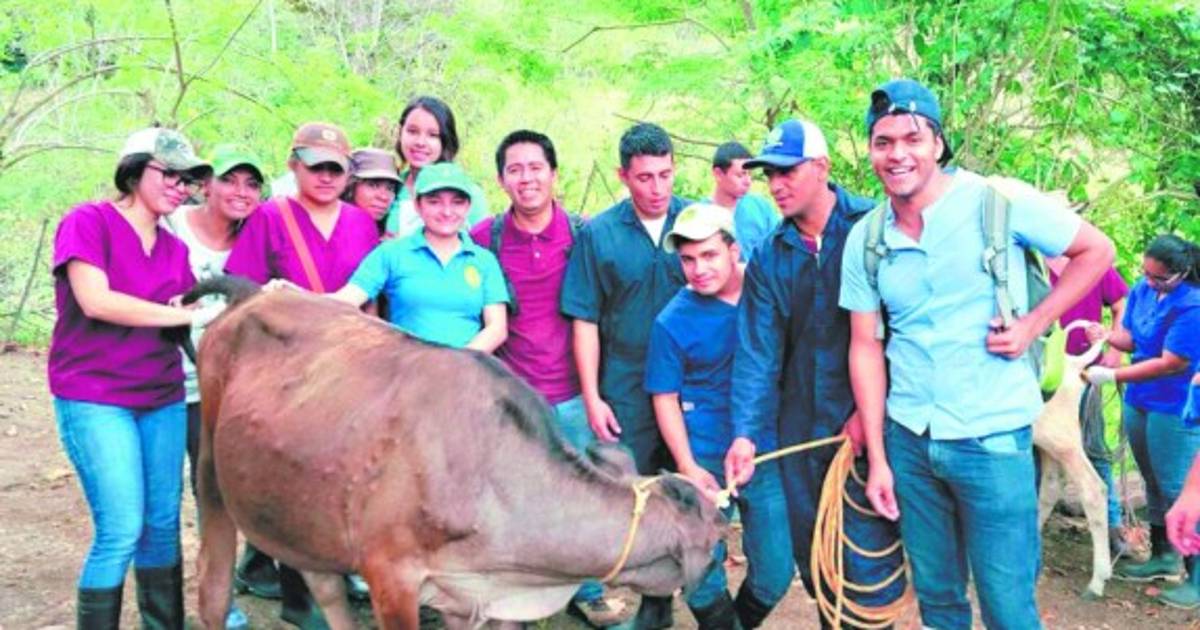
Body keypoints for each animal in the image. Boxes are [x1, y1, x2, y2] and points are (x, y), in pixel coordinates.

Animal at [185, 276, 725, 629]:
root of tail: (251, 295)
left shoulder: (470, 597)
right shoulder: (392, 578)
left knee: (326, 589)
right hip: (210, 470)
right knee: (212, 588)